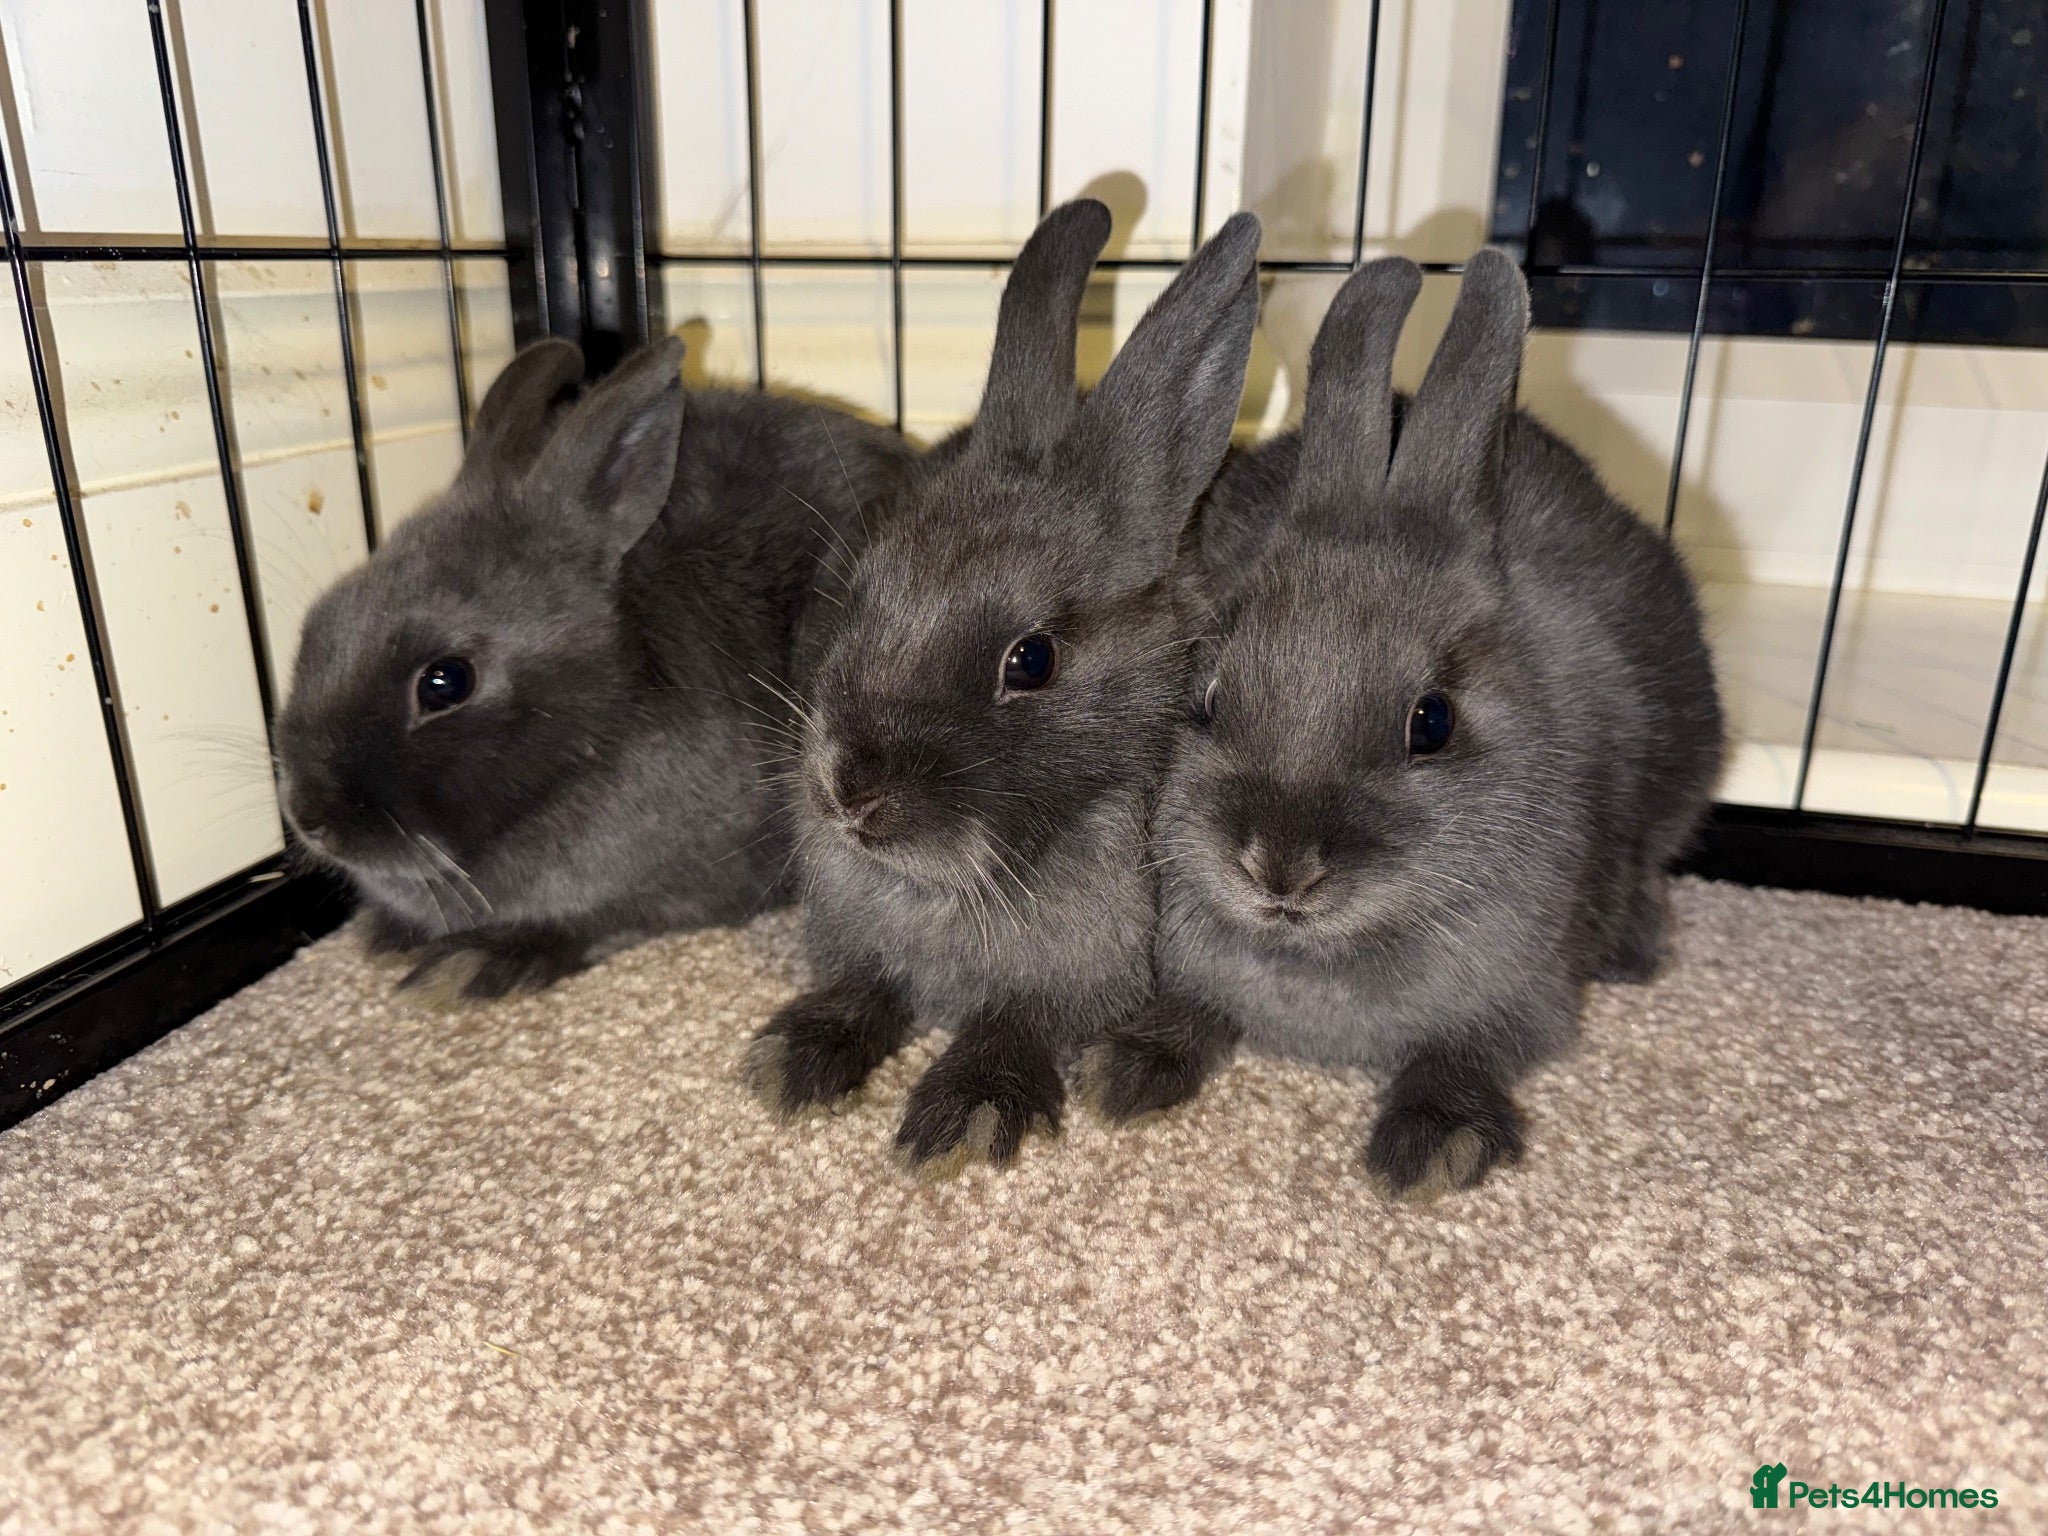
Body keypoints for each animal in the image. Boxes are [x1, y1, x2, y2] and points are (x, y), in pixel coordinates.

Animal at [275, 334, 917, 998]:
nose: (309, 816)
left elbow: (599, 920)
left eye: (446, 682)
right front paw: (386, 935)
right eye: (319, 620)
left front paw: (472, 964)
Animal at [742, 199, 1265, 1171]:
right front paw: (792, 1058)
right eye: (864, 591)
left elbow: (1009, 1025)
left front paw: (965, 1116)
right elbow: (865, 993)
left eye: (1031, 662)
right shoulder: (869, 952)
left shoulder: (1076, 981)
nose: (849, 790)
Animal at [1087, 249, 1724, 1200]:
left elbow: (1466, 1053)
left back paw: (1636, 952)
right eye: (1207, 696)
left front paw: (1431, 1148)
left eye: (1432, 722)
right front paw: (1122, 1072)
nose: (1278, 868)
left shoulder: (1521, 997)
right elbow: (1188, 1012)